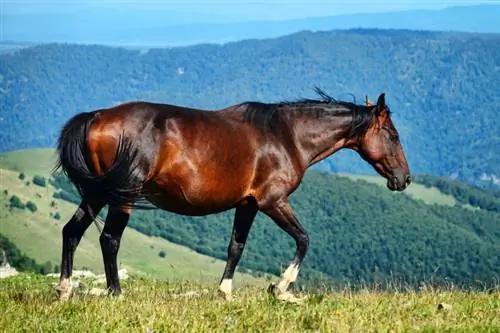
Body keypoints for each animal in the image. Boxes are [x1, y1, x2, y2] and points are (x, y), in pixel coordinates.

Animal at [51, 87, 410, 300]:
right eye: (393, 135)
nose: (404, 179)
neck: (286, 136)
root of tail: (97, 117)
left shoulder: (247, 204)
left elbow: (236, 247)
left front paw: (224, 291)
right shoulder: (273, 202)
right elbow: (304, 239)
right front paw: (281, 288)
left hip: (97, 193)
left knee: (72, 231)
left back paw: (64, 289)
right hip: (121, 196)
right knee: (109, 239)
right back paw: (116, 292)